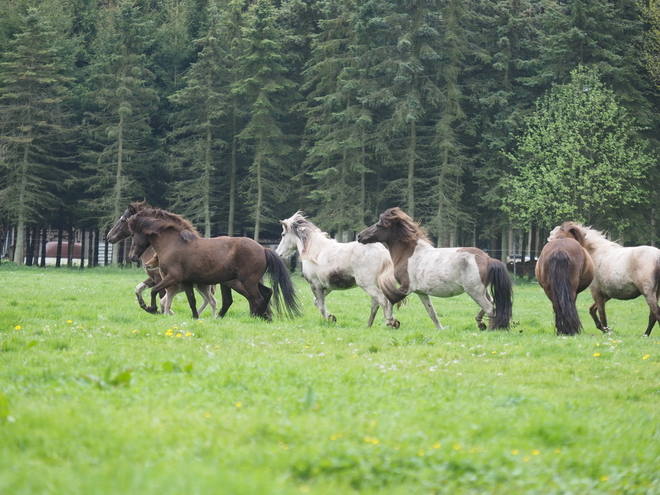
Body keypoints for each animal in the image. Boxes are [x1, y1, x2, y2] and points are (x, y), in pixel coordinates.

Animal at [125, 206, 300, 320]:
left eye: (133, 234)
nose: (132, 256)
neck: (174, 244)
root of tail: (263, 248)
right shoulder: (187, 282)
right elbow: (192, 301)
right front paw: (195, 318)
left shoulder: (173, 278)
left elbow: (154, 291)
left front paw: (152, 308)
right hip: (250, 281)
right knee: (266, 293)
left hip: (247, 282)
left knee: (256, 299)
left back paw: (253, 318)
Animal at [274, 211, 408, 328]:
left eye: (283, 234)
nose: (278, 254)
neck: (315, 251)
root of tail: (381, 250)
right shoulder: (326, 287)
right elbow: (317, 302)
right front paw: (331, 318)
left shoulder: (315, 285)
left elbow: (321, 305)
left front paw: (326, 321)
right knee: (376, 304)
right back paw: (369, 325)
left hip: (367, 285)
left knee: (383, 300)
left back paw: (390, 322)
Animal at [358, 207, 512, 332]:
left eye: (379, 224)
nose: (360, 236)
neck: (409, 254)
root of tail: (488, 259)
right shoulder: (421, 292)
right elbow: (431, 312)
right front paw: (440, 329)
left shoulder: (406, 288)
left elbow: (389, 300)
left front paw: (391, 322)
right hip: (483, 290)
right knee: (492, 302)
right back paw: (480, 323)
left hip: (475, 291)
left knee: (490, 308)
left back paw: (490, 329)